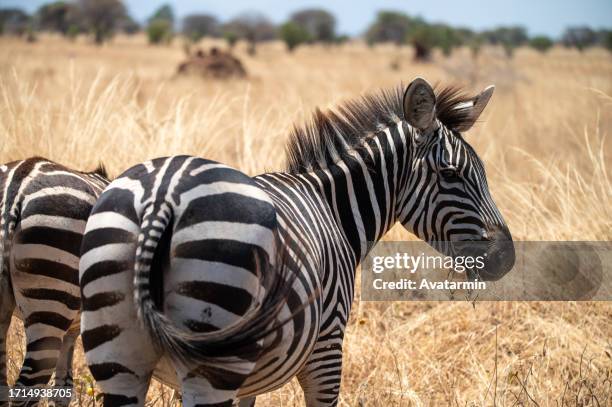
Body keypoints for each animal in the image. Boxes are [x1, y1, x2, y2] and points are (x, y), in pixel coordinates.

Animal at [79, 78, 512, 406]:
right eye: (451, 174)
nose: (506, 258)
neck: (333, 206)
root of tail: (162, 195)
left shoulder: (251, 379)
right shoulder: (326, 348)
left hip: (116, 357)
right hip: (212, 361)